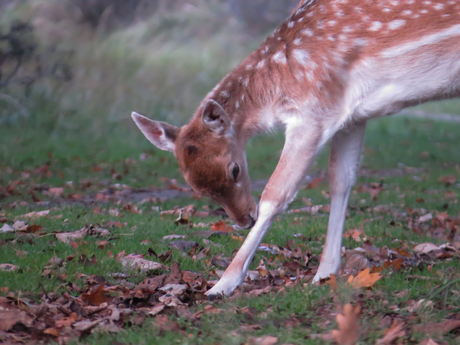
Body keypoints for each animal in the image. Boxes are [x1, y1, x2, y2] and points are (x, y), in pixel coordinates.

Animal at [131, 0, 460, 296]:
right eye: (196, 188)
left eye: (235, 169)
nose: (244, 220)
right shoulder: (352, 114)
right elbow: (340, 179)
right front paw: (324, 274)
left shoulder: (313, 113)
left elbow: (276, 194)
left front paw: (222, 285)